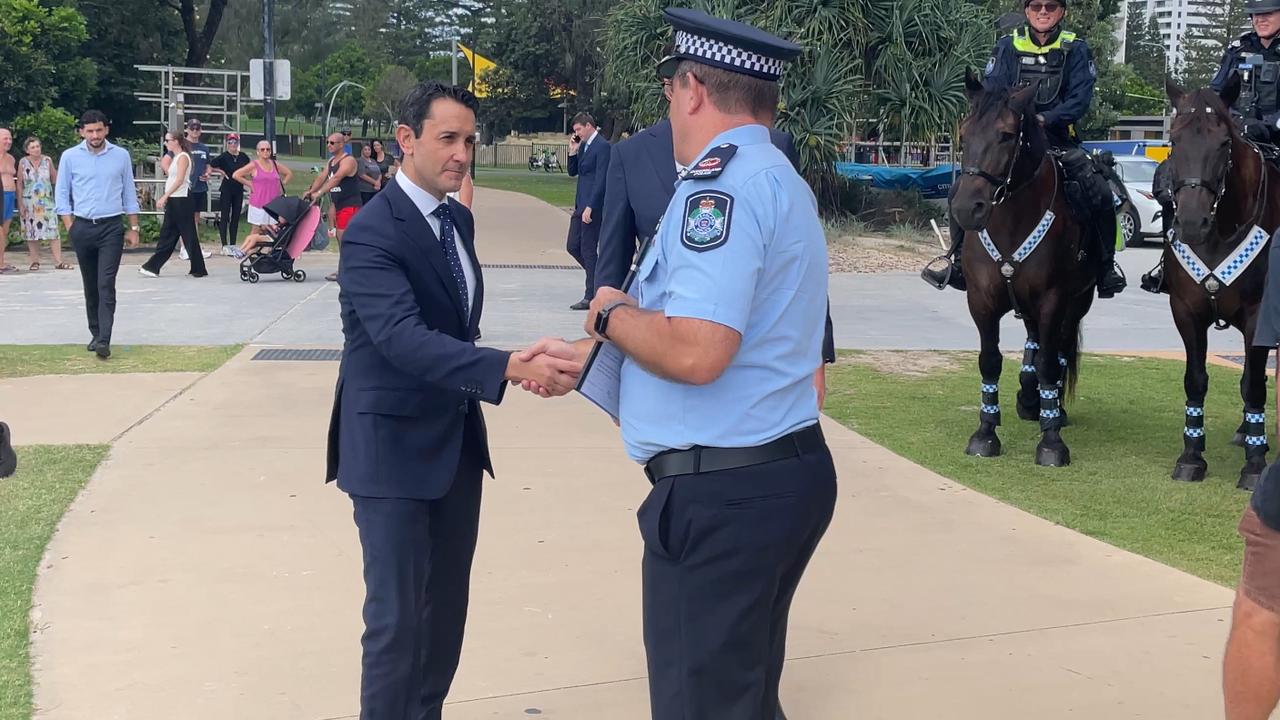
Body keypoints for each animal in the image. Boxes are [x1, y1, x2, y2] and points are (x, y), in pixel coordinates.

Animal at [952, 74, 1100, 466]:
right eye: (963, 134)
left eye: (1006, 135)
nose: (967, 208)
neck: (1011, 221)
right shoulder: (981, 301)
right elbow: (990, 361)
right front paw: (985, 432)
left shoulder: (1054, 299)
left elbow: (1050, 362)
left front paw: (1051, 441)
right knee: (1035, 340)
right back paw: (1030, 399)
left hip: (1076, 302)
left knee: (1057, 348)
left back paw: (1051, 409)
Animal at [1167, 75, 1274, 486]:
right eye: (1173, 140)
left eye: (1224, 143)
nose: (1192, 223)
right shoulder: (1185, 310)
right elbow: (1195, 379)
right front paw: (1191, 456)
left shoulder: (1260, 316)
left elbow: (1254, 383)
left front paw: (1255, 464)